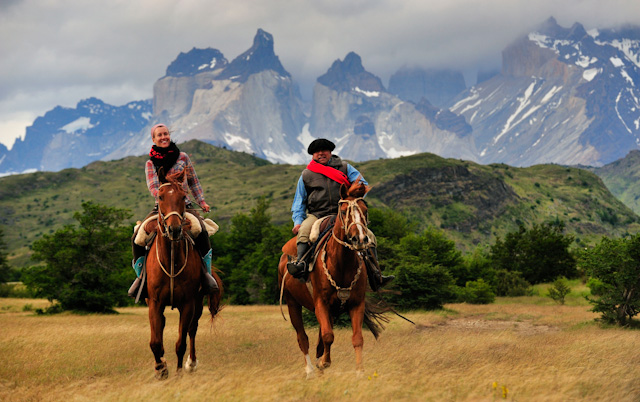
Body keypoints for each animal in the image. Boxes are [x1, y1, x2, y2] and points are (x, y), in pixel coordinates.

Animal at [142, 170, 222, 380]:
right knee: (162, 327)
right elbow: (155, 342)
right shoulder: (154, 302)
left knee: (192, 331)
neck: (171, 261)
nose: (175, 229)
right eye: (160, 196)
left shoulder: (187, 303)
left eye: (183, 196)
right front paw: (161, 368)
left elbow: (181, 343)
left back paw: (191, 363)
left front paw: (178, 373)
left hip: (198, 302)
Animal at [276, 181, 384, 378]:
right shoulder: (321, 302)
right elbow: (328, 336)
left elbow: (357, 338)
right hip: (292, 302)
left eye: (365, 210)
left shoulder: (356, 304)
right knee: (302, 337)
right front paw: (324, 363)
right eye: (343, 210)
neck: (342, 263)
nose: (359, 239)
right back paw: (310, 369)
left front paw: (359, 371)